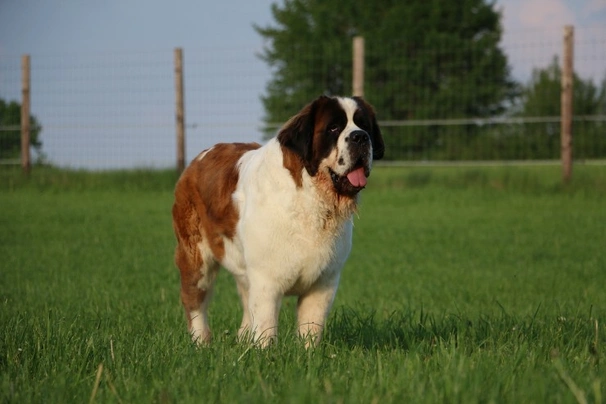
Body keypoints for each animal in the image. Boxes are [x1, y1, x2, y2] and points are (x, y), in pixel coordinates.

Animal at [173, 95, 388, 348]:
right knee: (195, 298)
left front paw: (308, 353)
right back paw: (200, 342)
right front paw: (264, 353)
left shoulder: (323, 283)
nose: (360, 137)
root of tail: (197, 160)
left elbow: (311, 326)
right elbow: (266, 325)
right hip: (196, 256)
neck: (311, 197)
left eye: (364, 126)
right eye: (333, 128)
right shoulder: (266, 279)